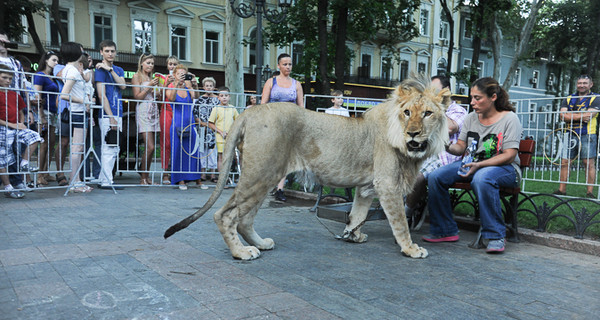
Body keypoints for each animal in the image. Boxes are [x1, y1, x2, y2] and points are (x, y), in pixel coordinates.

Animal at [164, 74, 450, 260]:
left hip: (265, 176)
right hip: (260, 174)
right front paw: (411, 249)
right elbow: (400, 222)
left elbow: (358, 213)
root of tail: (249, 111)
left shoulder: (367, 187)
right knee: (225, 215)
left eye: (427, 113)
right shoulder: (387, 184)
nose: (413, 134)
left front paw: (353, 235)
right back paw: (241, 252)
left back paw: (261, 244)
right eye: (407, 112)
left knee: (244, 218)